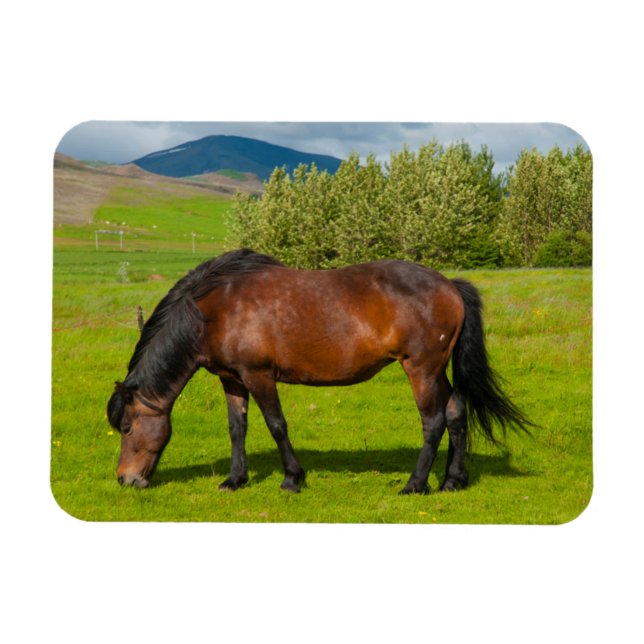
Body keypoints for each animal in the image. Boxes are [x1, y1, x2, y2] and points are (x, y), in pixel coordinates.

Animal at [107, 248, 532, 494]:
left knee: (434, 421)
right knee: (456, 412)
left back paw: (415, 485)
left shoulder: (259, 375)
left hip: (422, 370)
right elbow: (237, 429)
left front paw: (292, 478)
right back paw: (452, 481)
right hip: (437, 370)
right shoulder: (232, 379)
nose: (126, 479)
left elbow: (277, 425)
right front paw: (235, 479)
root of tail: (450, 285)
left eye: (126, 428)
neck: (215, 309)